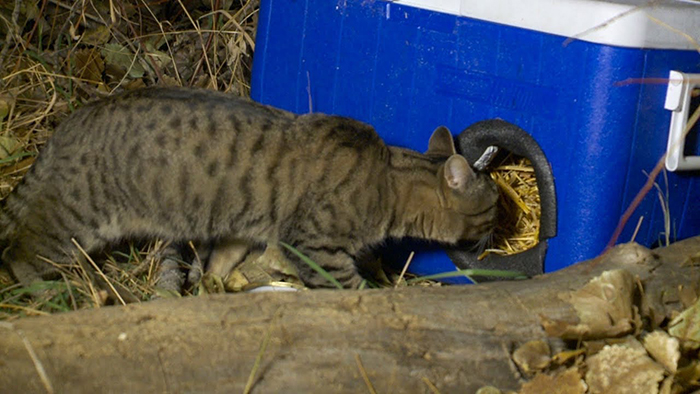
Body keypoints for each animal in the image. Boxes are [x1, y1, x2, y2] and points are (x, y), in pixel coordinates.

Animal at [0, 87, 498, 288]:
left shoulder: (243, 229)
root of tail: (68, 124)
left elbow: (220, 263)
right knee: (21, 254)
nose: (501, 226)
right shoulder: (314, 246)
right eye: (495, 205)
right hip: (74, 222)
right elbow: (348, 286)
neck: (388, 180)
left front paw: (213, 288)